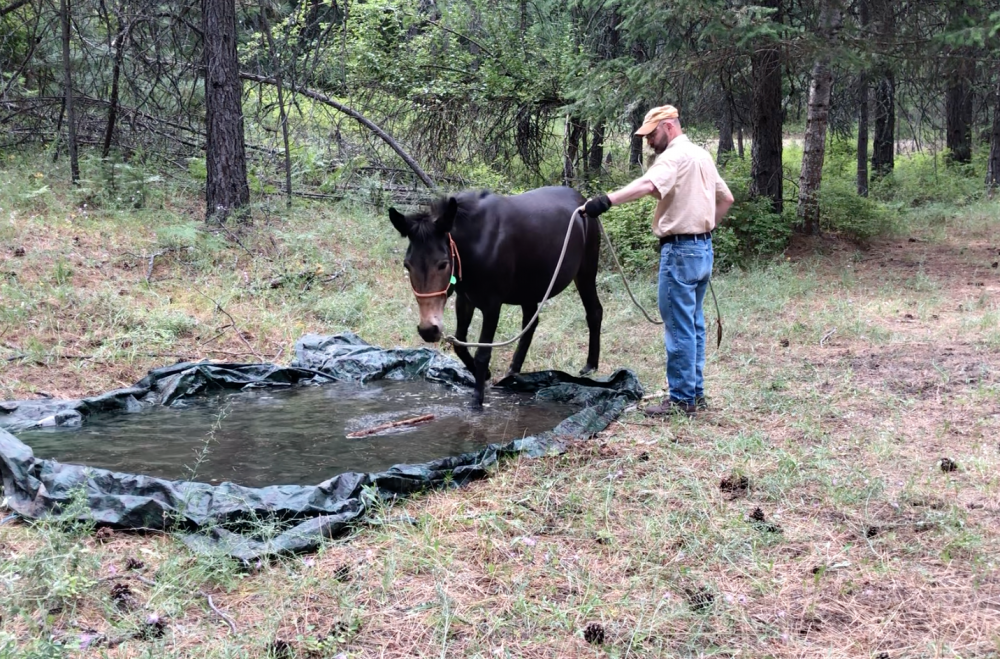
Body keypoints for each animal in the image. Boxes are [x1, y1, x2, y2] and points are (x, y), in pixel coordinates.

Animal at [388, 186, 603, 406]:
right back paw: (513, 372)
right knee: (530, 323)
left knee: (594, 312)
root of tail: (582, 201)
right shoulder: (465, 299)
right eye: (407, 265)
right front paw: (485, 375)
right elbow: (460, 344)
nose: (428, 330)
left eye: (443, 264)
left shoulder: (492, 305)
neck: (478, 243)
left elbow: (483, 352)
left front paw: (477, 400)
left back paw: (590, 366)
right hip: (529, 288)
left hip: (585, 272)